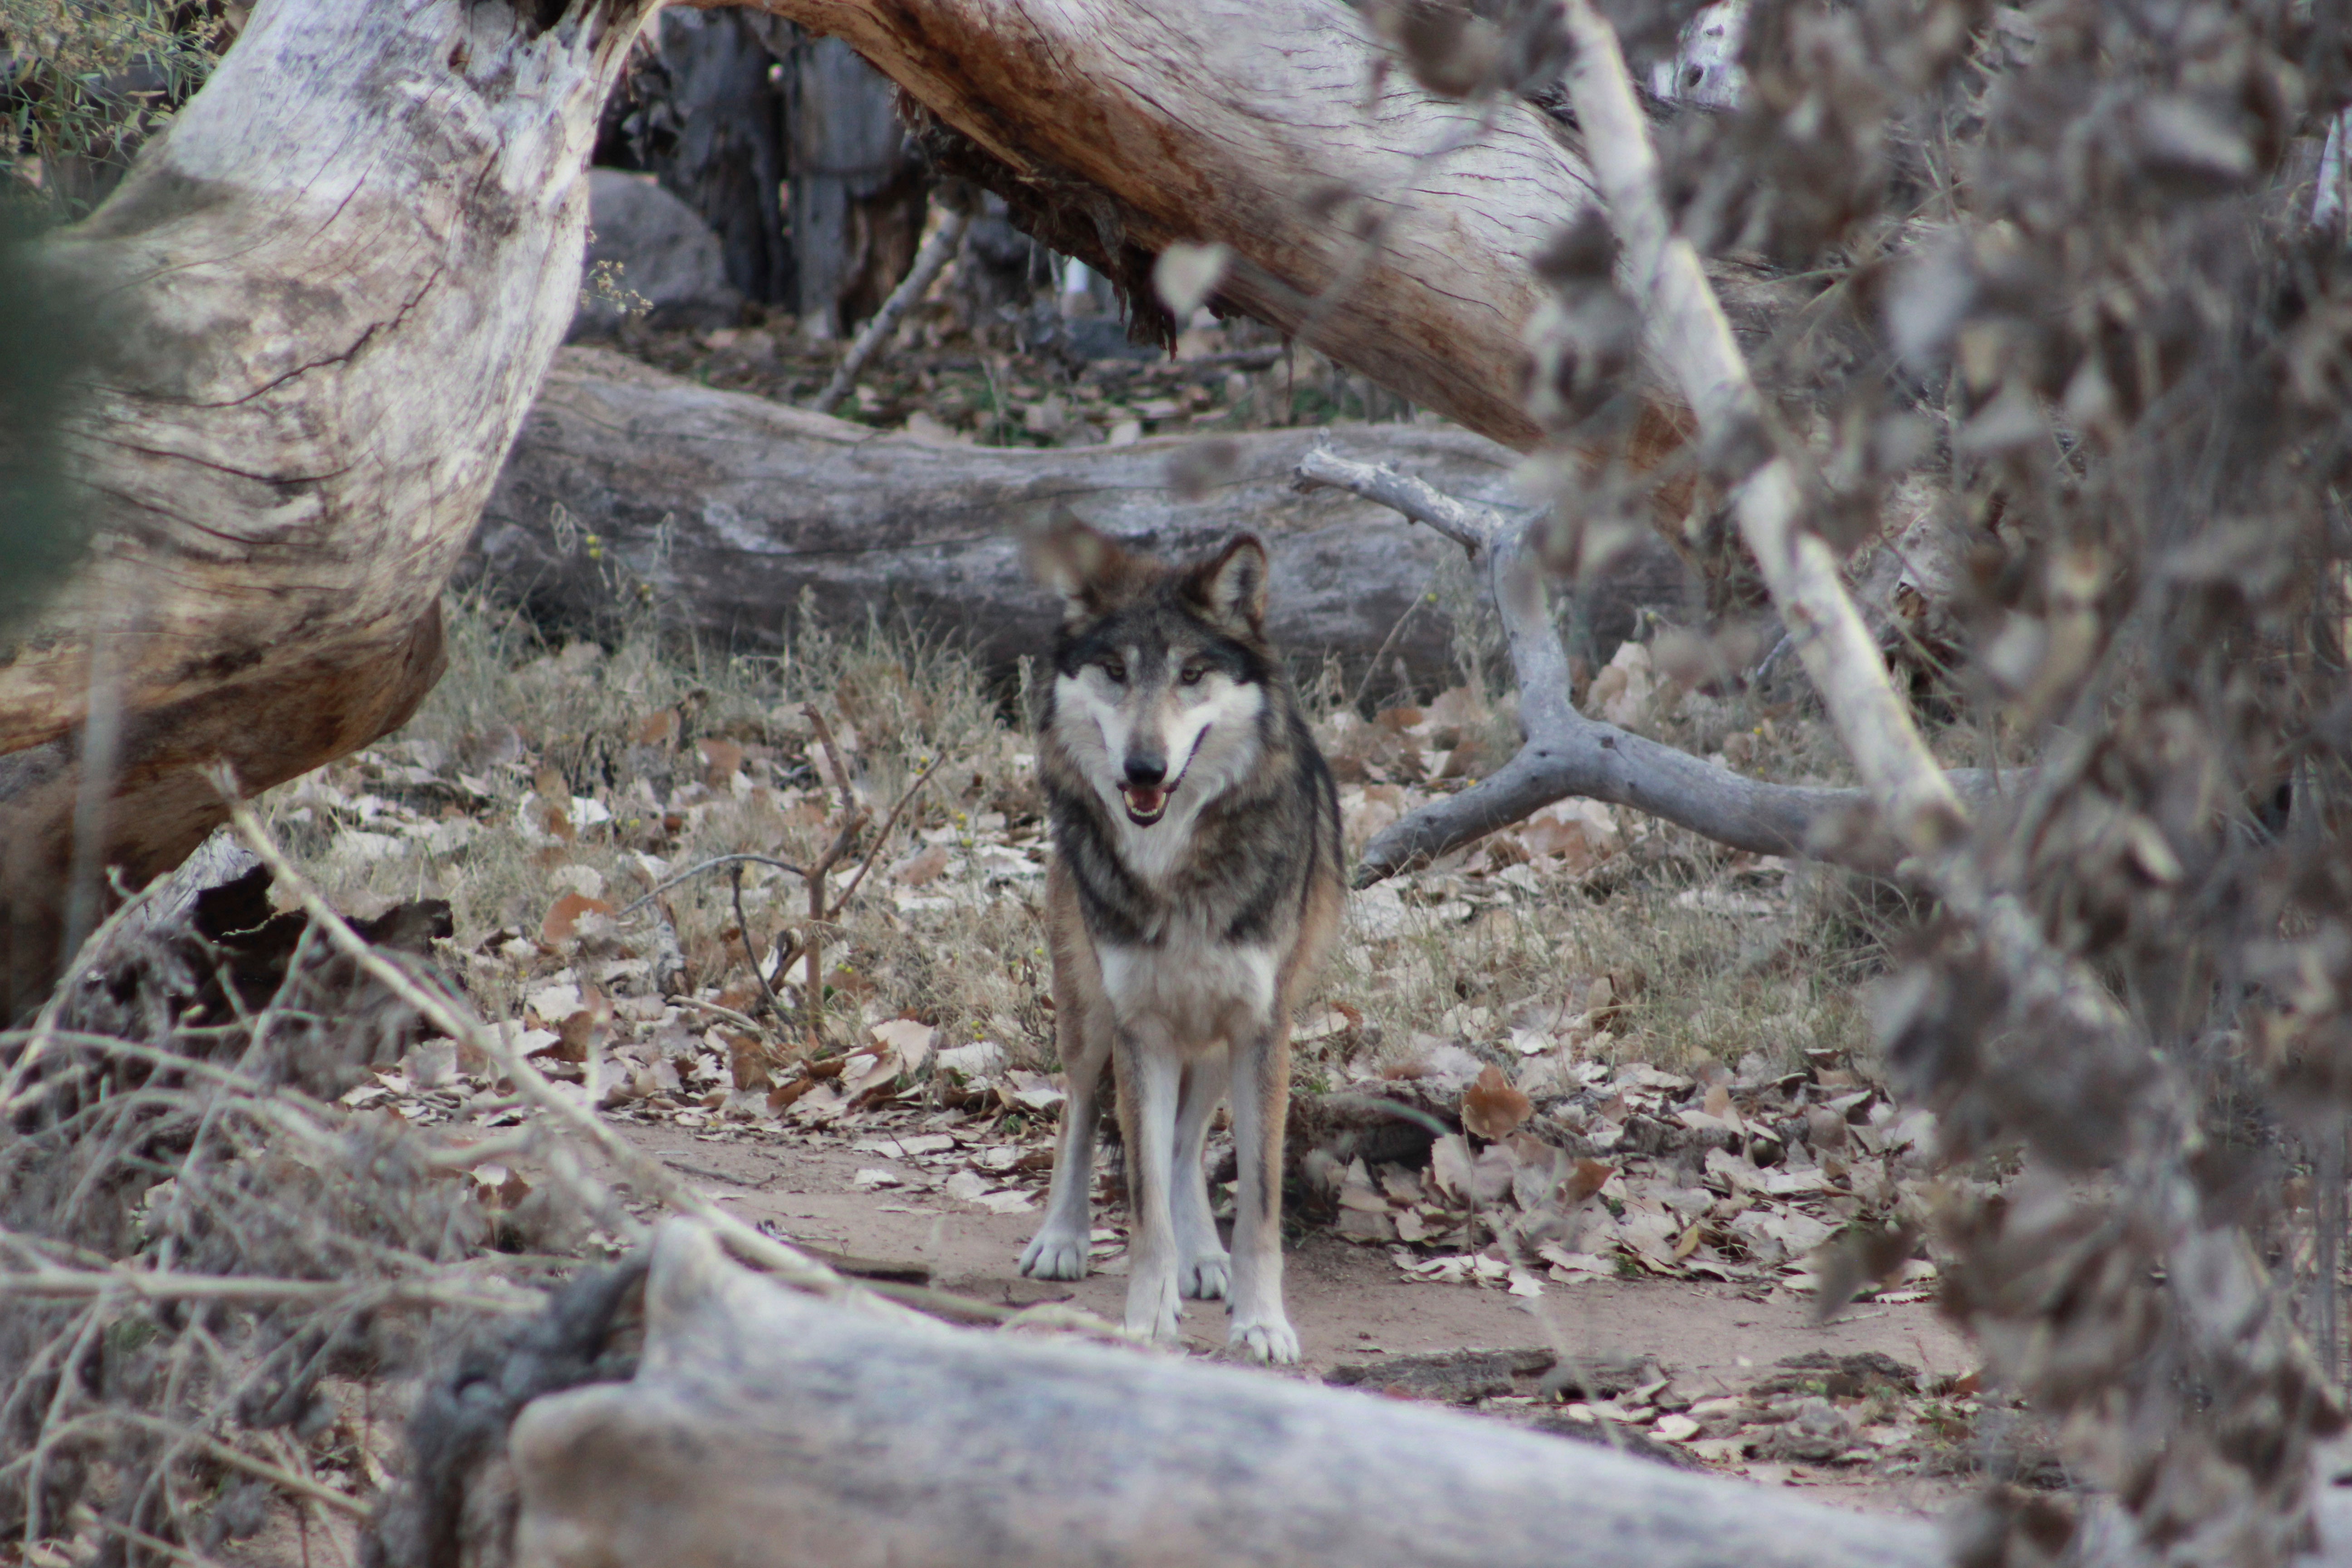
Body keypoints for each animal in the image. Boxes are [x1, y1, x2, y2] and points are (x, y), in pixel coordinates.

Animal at [1011, 517, 1345, 1363]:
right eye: (1113, 672)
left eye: (1193, 673)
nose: (1143, 767)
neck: (1177, 867)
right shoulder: (1141, 1029)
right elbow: (1142, 1200)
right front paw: (1145, 1319)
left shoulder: (1260, 1028)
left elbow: (1257, 1203)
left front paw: (1260, 1322)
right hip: (1090, 1016)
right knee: (1080, 1114)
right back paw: (1062, 1239)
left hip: (1220, 1044)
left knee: (1186, 1143)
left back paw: (1205, 1259)